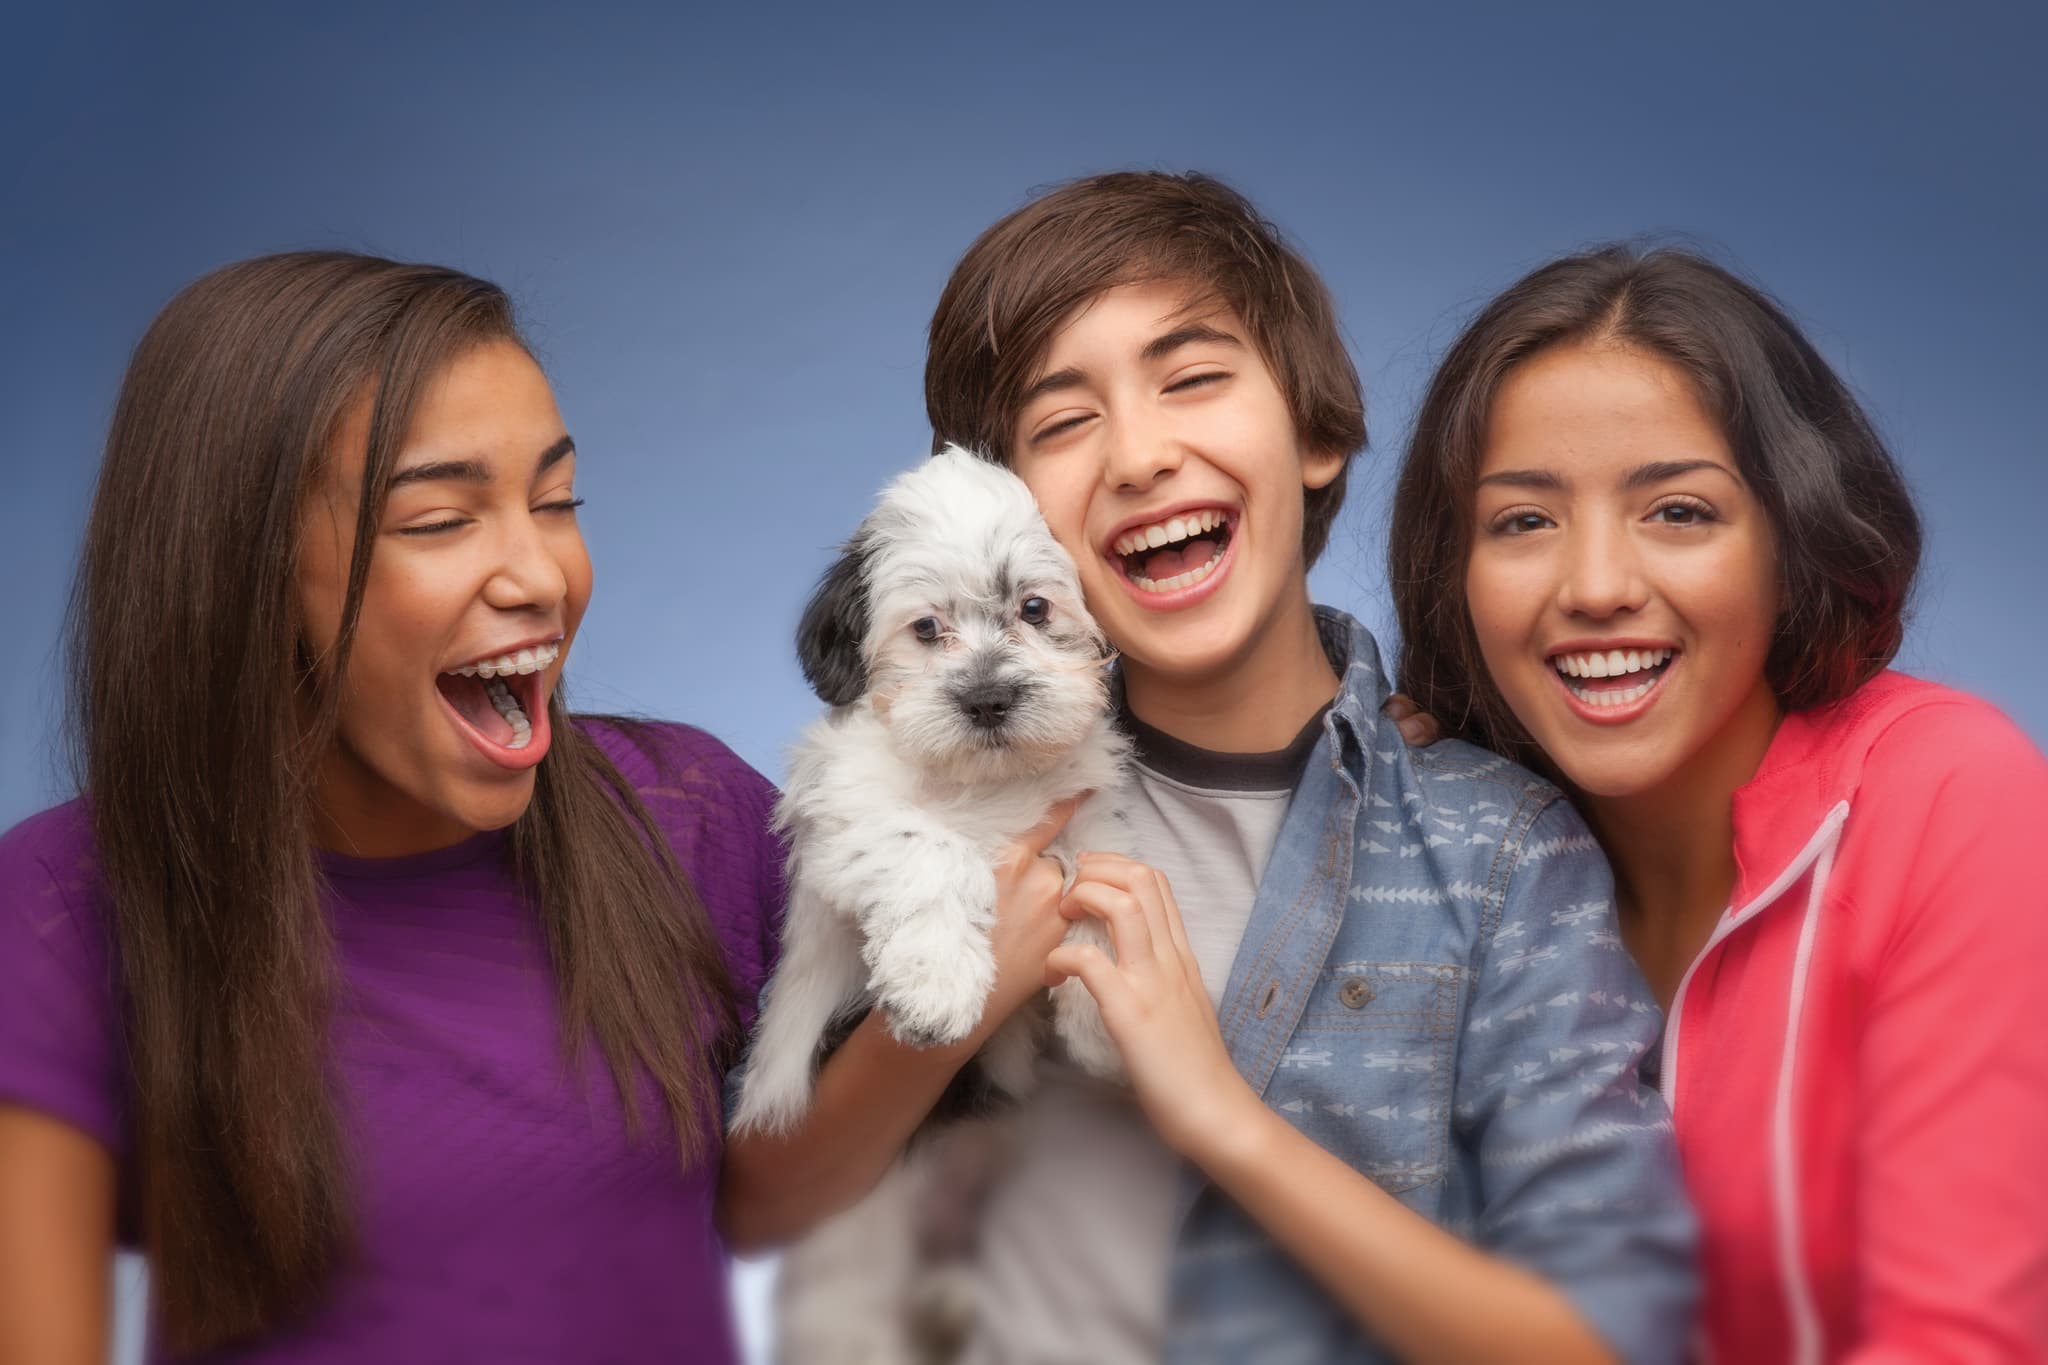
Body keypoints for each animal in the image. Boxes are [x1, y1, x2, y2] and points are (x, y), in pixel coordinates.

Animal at [733, 444, 1130, 1137]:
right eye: (924, 628)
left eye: (1034, 609)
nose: (989, 698)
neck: (981, 781)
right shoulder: (847, 807)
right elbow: (931, 848)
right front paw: (936, 984)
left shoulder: (1083, 811)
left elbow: (1097, 870)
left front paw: (1097, 1014)